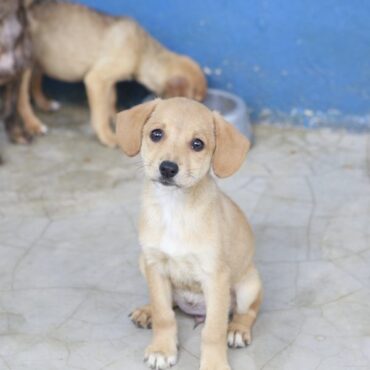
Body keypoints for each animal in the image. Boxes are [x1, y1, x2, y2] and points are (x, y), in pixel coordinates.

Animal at [19, 0, 208, 147]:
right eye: (194, 99)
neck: (142, 52)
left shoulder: (108, 81)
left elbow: (110, 100)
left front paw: (116, 118)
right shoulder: (96, 79)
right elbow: (99, 114)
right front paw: (107, 136)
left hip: (38, 59)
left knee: (35, 80)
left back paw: (45, 103)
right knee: (21, 97)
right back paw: (33, 124)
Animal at [116, 97, 264, 368]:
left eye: (198, 144)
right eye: (156, 134)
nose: (167, 168)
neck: (174, 208)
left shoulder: (215, 277)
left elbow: (213, 331)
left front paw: (214, 364)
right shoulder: (155, 266)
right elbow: (164, 314)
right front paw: (162, 348)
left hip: (248, 286)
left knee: (247, 311)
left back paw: (237, 329)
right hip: (143, 263)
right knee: (170, 303)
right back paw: (147, 310)